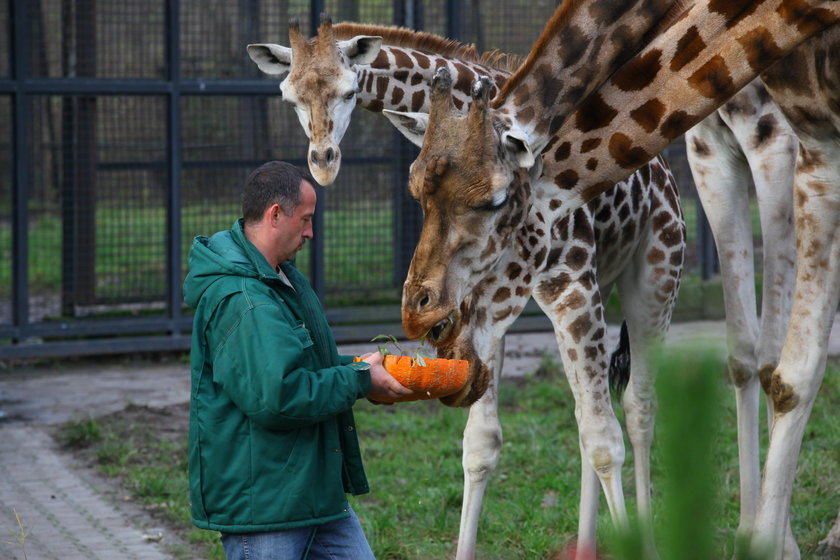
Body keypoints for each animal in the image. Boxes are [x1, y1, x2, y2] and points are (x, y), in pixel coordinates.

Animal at [402, 1, 840, 556]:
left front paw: (770, 542)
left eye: (494, 200)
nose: (423, 318)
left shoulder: (783, 142)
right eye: (414, 188)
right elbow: (750, 359)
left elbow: (780, 368)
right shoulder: (729, 145)